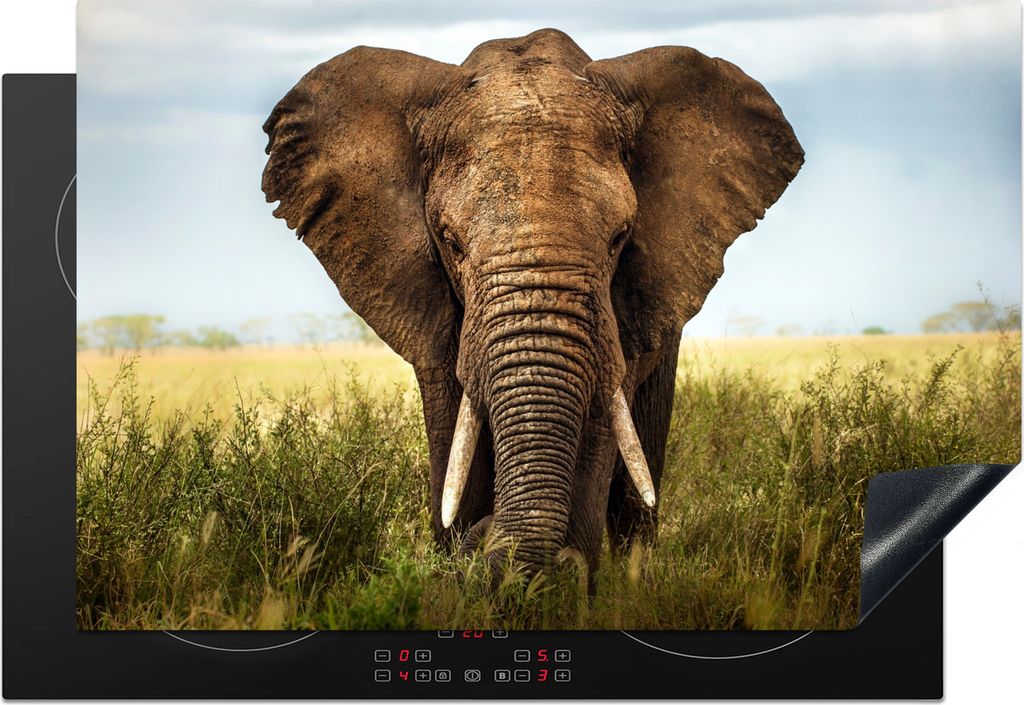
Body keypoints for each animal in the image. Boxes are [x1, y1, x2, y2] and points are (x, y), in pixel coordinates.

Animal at [262, 29, 803, 581]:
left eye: (620, 238)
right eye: (450, 242)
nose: (485, 539)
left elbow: (598, 429)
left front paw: (561, 581)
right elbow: (454, 436)